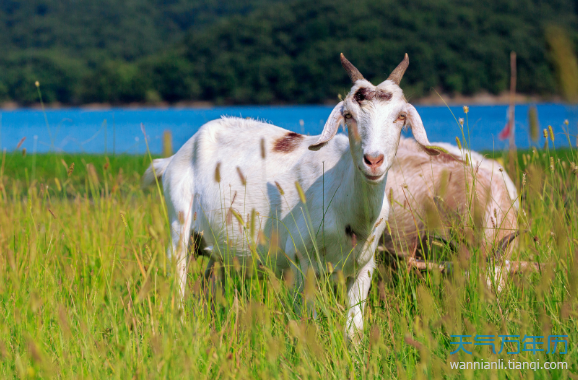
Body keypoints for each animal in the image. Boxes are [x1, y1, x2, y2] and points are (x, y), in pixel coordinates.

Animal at [143, 53, 436, 342]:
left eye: (401, 116)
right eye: (348, 115)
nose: (373, 160)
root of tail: (173, 158)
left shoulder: (364, 266)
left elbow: (354, 329)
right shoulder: (300, 261)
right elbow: (308, 321)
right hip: (179, 226)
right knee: (179, 279)